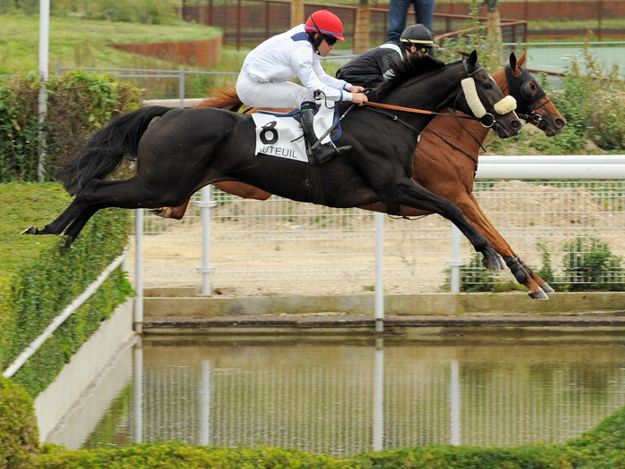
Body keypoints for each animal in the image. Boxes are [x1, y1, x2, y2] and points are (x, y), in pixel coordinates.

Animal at [23, 50, 520, 274]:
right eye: (488, 86)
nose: (514, 122)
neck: (388, 118)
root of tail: (170, 111)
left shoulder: (400, 193)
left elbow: (456, 208)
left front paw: (503, 260)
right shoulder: (394, 186)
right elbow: (454, 208)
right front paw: (494, 257)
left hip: (163, 185)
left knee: (98, 194)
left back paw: (60, 237)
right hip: (160, 183)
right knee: (95, 189)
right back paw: (53, 232)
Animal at [156, 52, 564, 300]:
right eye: (530, 85)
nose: (558, 121)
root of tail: (252, 109)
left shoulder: (459, 193)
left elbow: (492, 232)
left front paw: (534, 279)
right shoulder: (450, 193)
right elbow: (492, 233)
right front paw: (530, 280)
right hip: (251, 183)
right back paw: (169, 202)